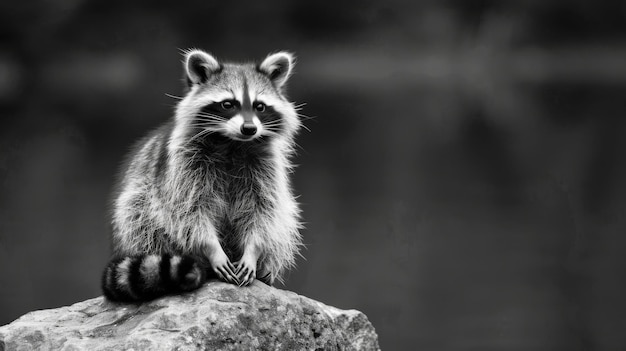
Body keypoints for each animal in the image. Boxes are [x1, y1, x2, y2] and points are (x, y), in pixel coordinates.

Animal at [102, 49, 302, 302]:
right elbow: (189, 211)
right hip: (139, 203)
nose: (249, 129)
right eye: (228, 104)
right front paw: (212, 249)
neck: (232, 142)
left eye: (260, 106)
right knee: (139, 214)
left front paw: (253, 251)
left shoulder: (267, 167)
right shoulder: (183, 165)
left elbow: (264, 211)